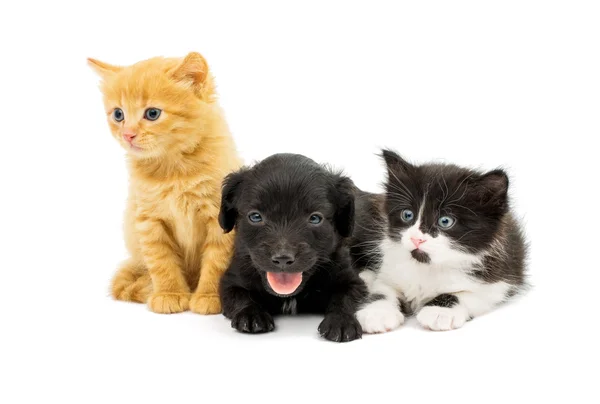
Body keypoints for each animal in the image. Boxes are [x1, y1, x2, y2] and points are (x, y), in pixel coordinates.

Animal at [87, 52, 241, 314]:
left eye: (152, 114)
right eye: (118, 114)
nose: (127, 134)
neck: (173, 170)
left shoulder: (219, 218)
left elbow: (217, 261)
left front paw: (210, 297)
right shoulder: (149, 219)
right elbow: (161, 260)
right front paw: (170, 293)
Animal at [216, 153, 366, 342]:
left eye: (315, 218)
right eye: (255, 216)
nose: (282, 258)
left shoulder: (353, 281)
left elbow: (345, 299)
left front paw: (341, 321)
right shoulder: (231, 280)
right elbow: (240, 296)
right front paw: (251, 315)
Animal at [352, 150, 524, 332]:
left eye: (445, 221)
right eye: (407, 215)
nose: (417, 239)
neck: (426, 264)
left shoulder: (499, 281)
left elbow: (467, 294)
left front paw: (440, 312)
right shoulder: (388, 268)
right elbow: (383, 289)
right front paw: (377, 313)